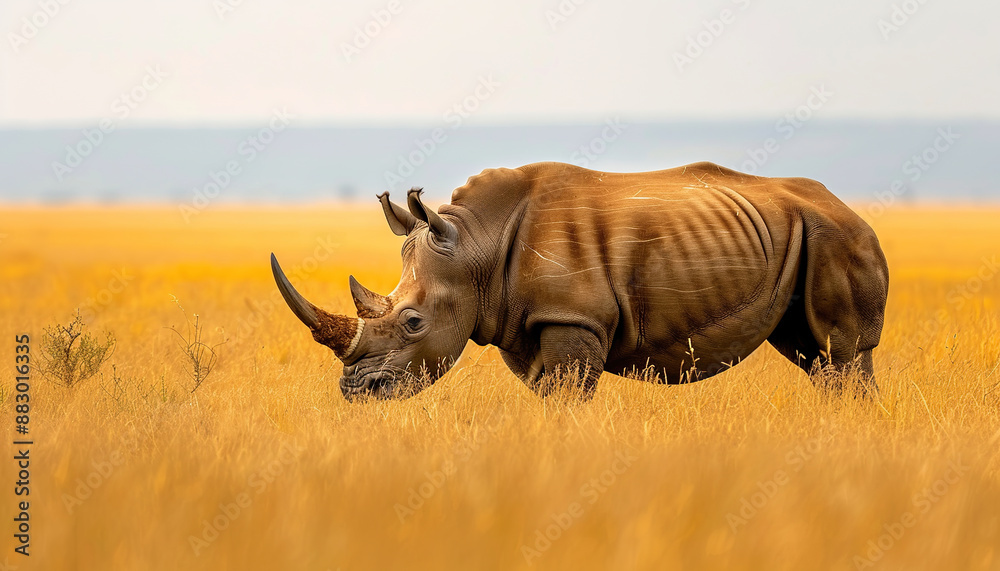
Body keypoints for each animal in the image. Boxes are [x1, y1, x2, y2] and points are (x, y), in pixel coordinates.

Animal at [271, 161, 889, 400]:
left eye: (413, 322)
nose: (355, 393)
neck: (474, 248)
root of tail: (848, 206)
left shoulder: (574, 318)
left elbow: (568, 395)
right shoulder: (528, 320)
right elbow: (547, 392)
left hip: (838, 235)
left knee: (842, 350)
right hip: (801, 234)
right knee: (812, 354)